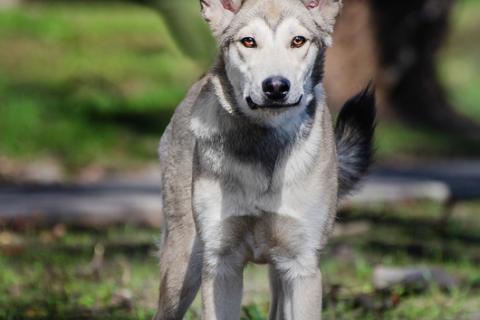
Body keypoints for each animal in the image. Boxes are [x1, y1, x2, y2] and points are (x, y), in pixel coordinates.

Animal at [154, 1, 376, 318]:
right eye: (249, 41)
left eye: (298, 40)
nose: (275, 87)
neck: (265, 143)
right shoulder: (220, 263)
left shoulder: (302, 266)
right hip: (182, 264)